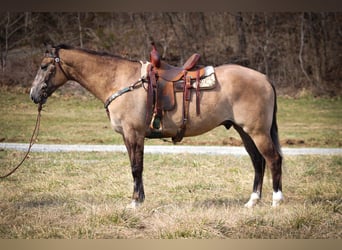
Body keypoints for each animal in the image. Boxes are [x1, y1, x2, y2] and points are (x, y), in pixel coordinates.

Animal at [29, 44, 284, 208]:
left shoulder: (134, 133)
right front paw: (139, 199)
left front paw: (134, 203)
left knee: (273, 159)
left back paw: (276, 201)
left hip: (257, 132)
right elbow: (136, 166)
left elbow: (136, 167)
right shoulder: (128, 136)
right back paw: (253, 201)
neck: (120, 80)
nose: (33, 94)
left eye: (43, 66)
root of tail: (264, 78)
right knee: (258, 161)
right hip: (244, 131)